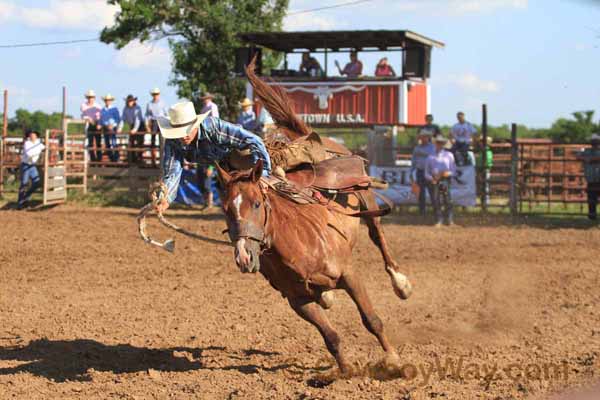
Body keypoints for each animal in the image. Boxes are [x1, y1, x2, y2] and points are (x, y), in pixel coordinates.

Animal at [216, 160, 404, 376]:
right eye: (225, 209)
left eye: (256, 204)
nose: (244, 256)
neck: (298, 240)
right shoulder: (298, 300)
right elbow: (330, 337)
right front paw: (345, 371)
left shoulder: (349, 275)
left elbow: (372, 320)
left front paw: (393, 360)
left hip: (369, 204)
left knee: (377, 235)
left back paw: (400, 283)